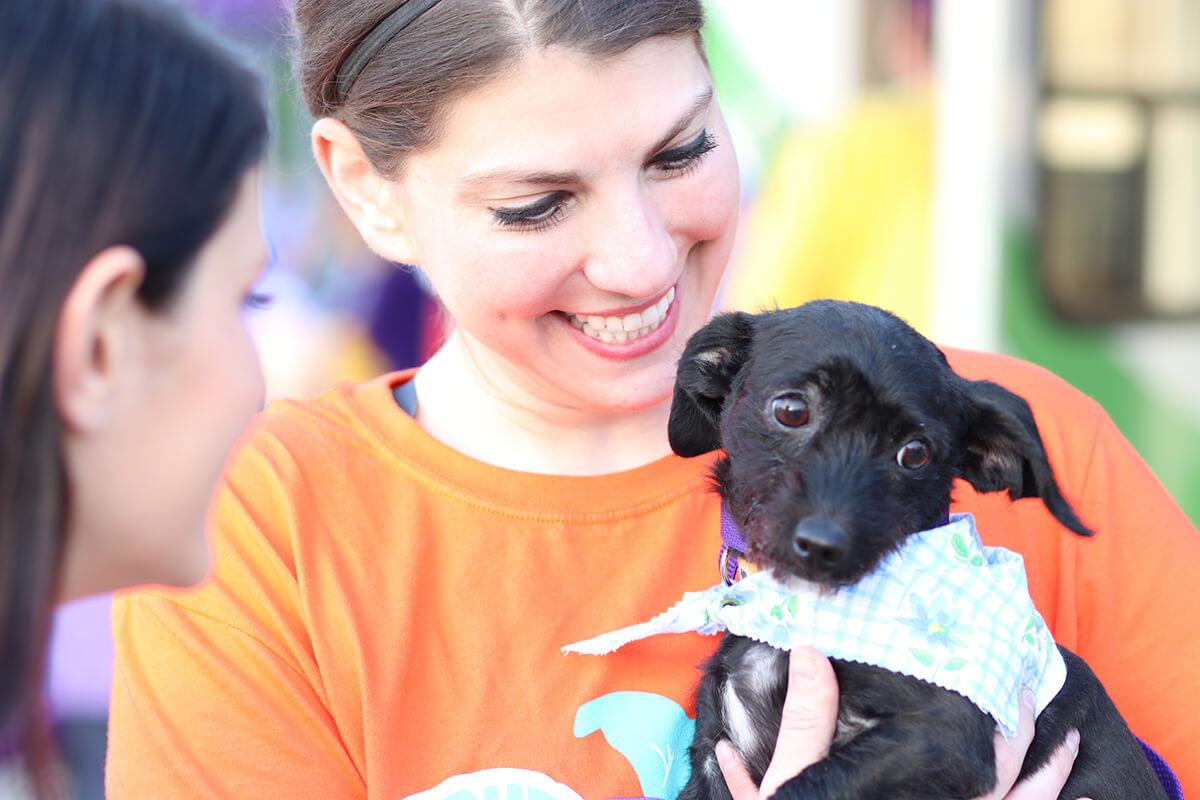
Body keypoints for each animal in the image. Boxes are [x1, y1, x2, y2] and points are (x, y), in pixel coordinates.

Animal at [667, 302, 1161, 800]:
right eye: (790, 410)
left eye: (916, 453)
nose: (823, 546)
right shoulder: (713, 751)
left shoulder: (942, 736)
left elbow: (802, 787)